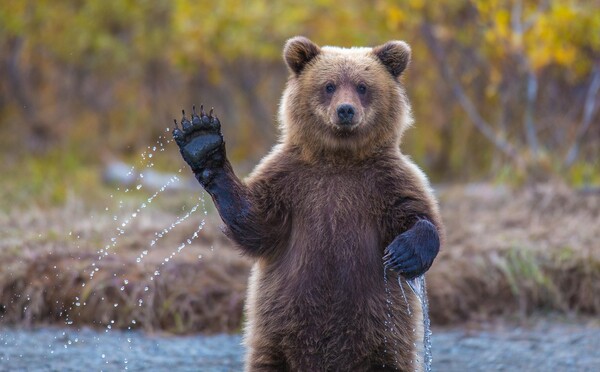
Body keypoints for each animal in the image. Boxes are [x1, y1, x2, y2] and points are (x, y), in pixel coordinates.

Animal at [171, 36, 442, 370]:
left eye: (362, 86)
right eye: (329, 85)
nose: (345, 110)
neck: (339, 157)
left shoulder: (386, 181)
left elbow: (418, 213)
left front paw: (404, 253)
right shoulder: (291, 180)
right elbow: (256, 223)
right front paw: (201, 140)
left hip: (383, 338)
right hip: (276, 335)